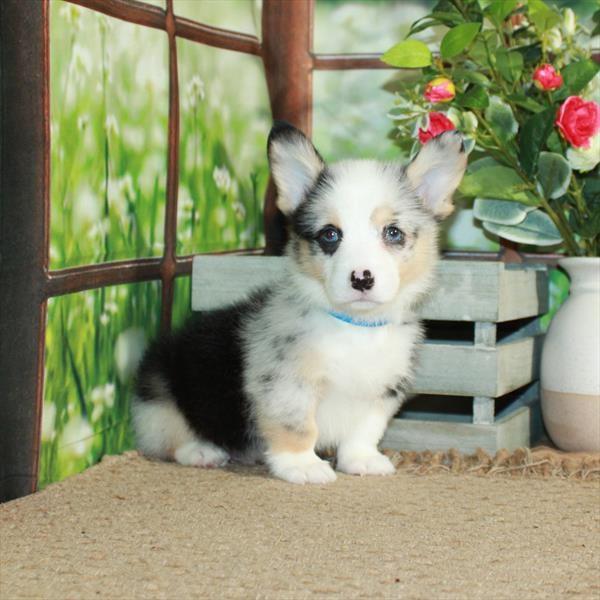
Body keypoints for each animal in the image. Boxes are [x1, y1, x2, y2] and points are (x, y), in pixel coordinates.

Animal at [134, 122, 466, 482]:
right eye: (330, 235)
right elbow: (298, 428)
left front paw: (362, 460)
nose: (361, 278)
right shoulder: (286, 384)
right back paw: (202, 451)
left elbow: (364, 431)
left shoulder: (381, 390)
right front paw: (302, 466)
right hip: (160, 399)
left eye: (393, 233)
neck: (354, 326)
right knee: (167, 439)